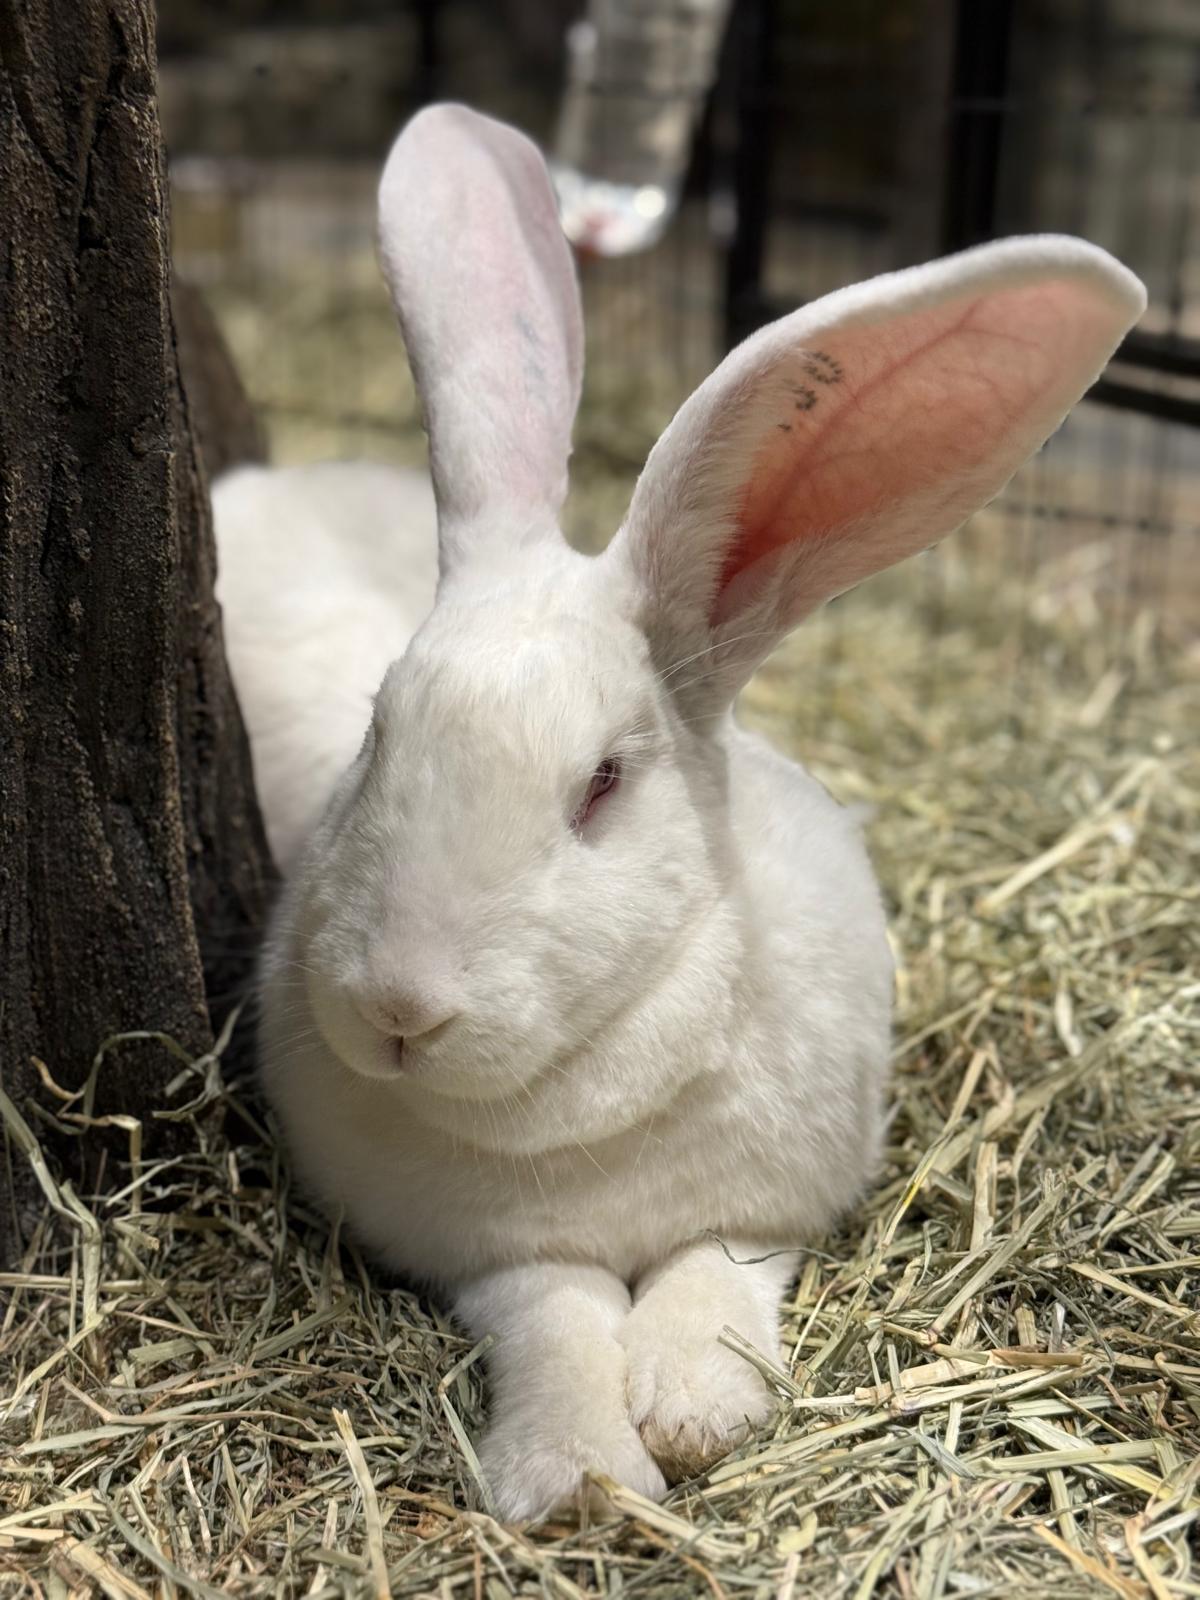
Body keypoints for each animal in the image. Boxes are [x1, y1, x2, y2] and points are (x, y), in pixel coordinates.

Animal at [212, 103, 1145, 1521]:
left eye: (602, 783)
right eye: (379, 733)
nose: (397, 1009)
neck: (585, 1093)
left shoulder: (767, 1209)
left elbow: (716, 1272)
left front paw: (700, 1410)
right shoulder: (493, 1255)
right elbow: (554, 1314)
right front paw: (580, 1476)